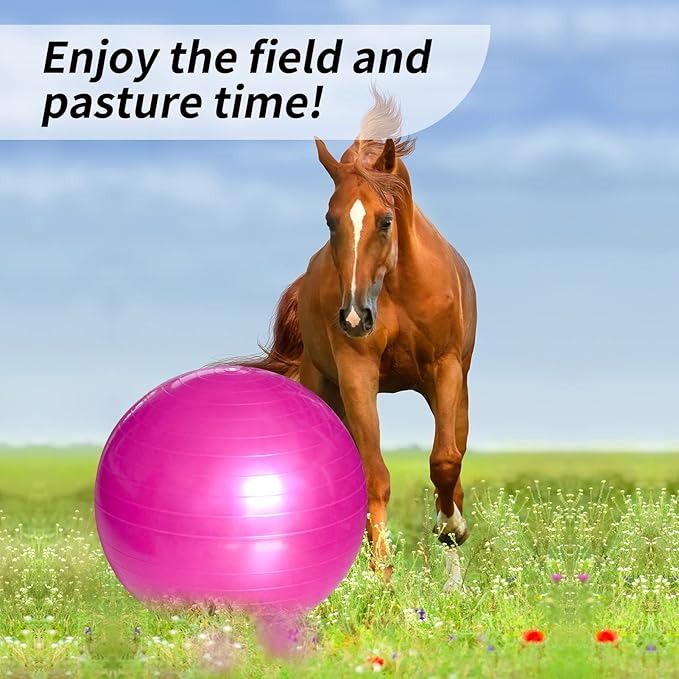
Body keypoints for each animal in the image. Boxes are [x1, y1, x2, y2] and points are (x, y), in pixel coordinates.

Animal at [238, 95, 477, 590]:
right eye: (330, 221)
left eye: (385, 221)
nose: (353, 317)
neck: (397, 286)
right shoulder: (356, 374)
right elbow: (374, 476)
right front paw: (381, 576)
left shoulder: (444, 369)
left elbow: (445, 461)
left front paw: (451, 534)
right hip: (328, 390)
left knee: (454, 463)